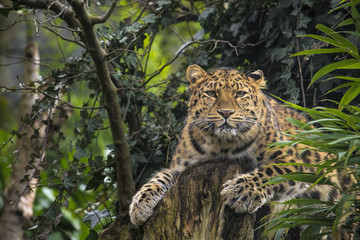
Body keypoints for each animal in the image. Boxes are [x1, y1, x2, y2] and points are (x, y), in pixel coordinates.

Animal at [129, 64, 348, 226]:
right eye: (211, 93)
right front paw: (140, 205)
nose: (226, 113)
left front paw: (240, 192)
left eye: (240, 94)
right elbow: (159, 178)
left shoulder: (293, 162)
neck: (222, 144)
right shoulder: (182, 169)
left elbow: (269, 172)